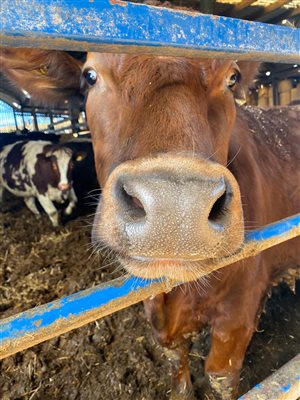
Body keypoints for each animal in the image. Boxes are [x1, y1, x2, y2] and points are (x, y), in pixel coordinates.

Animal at [0, 47, 298, 400]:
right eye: (90, 76)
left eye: (232, 77)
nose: (176, 206)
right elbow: (178, 372)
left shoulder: (237, 318)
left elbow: (220, 378)